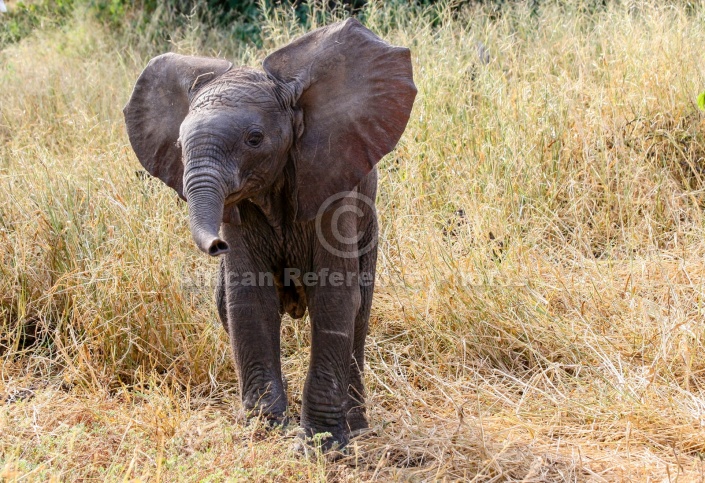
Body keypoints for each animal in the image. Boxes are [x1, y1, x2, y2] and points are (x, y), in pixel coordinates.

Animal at [123, 18, 416, 450]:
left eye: (255, 139)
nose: (218, 245)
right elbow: (247, 297)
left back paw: (357, 426)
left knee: (360, 312)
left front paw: (322, 445)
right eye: (177, 143)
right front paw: (265, 429)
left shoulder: (332, 187)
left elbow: (335, 299)